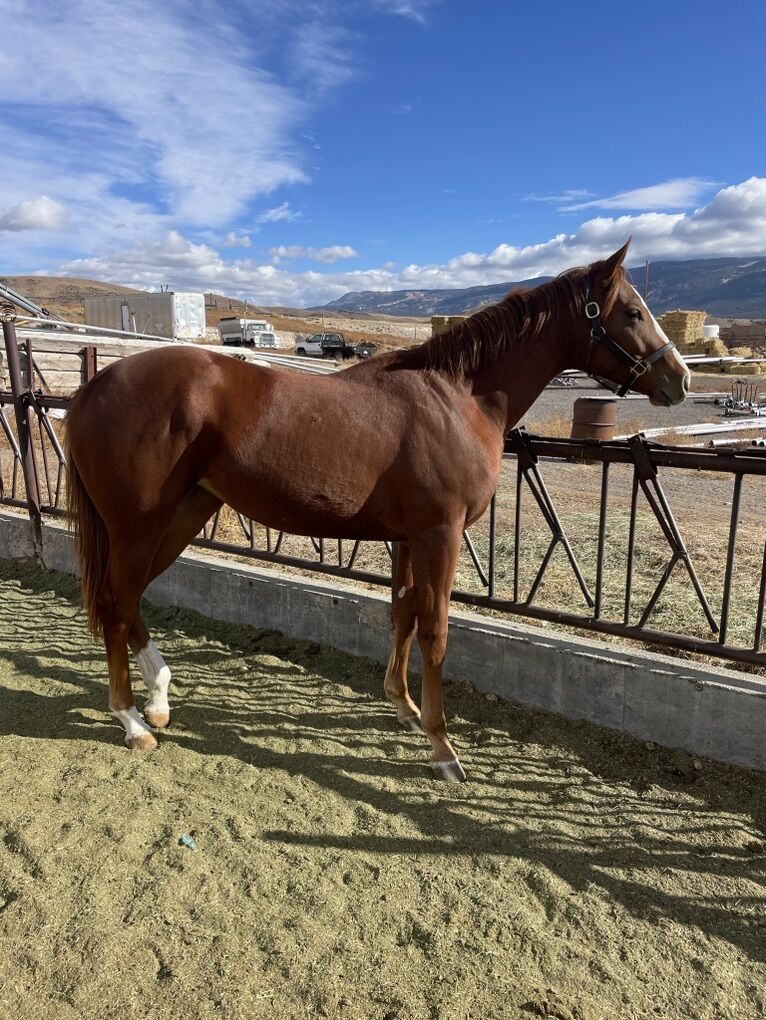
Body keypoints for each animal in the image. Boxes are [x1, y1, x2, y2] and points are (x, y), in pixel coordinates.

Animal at [65, 241, 689, 781]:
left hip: (184, 513)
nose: (679, 379)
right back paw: (132, 721)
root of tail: (94, 387)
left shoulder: (411, 538)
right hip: (138, 526)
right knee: (115, 603)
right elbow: (435, 628)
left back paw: (160, 697)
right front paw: (442, 745)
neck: (456, 398)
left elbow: (404, 613)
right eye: (632, 312)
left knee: (130, 598)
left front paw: (404, 708)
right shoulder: (440, 535)